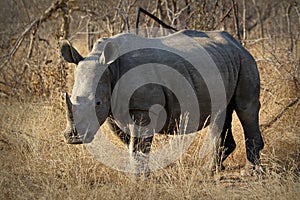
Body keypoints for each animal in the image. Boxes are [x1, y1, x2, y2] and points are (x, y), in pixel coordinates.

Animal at [59, 29, 264, 172]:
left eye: (97, 103)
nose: (74, 137)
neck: (110, 67)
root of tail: (236, 42)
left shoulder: (143, 107)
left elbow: (138, 145)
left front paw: (140, 179)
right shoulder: (113, 108)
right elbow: (130, 143)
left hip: (245, 60)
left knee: (246, 109)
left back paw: (250, 172)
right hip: (222, 62)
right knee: (221, 113)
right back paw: (211, 171)